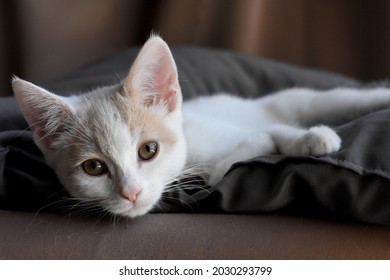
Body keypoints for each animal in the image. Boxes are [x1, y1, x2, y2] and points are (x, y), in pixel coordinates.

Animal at [11, 36, 390, 218]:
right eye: (94, 168)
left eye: (148, 151)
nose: (131, 193)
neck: (192, 150)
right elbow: (230, 164)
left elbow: (274, 134)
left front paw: (312, 138)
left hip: (299, 101)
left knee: (329, 100)